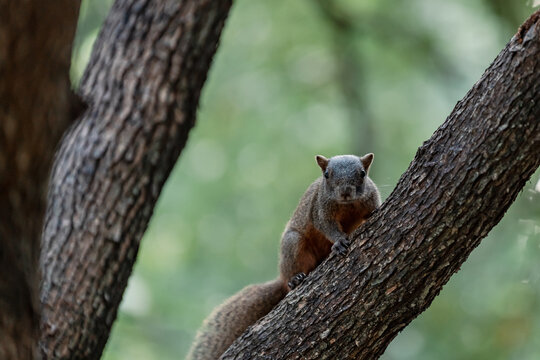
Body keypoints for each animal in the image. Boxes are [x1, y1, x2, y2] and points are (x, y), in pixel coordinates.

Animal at [188, 153, 382, 358]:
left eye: (362, 173)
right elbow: (326, 226)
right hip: (293, 245)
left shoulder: (370, 198)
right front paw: (338, 242)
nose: (345, 192)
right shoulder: (319, 209)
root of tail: (281, 277)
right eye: (327, 174)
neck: (347, 205)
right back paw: (295, 280)